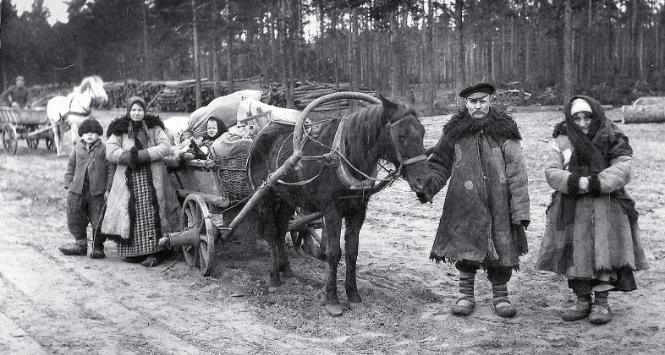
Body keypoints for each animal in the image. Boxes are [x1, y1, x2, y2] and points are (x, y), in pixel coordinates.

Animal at [246, 95, 428, 318]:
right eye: (401, 136)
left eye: (422, 132)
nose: (423, 181)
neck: (345, 155)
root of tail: (259, 136)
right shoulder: (332, 210)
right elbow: (334, 253)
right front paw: (332, 299)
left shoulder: (357, 212)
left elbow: (352, 252)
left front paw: (354, 295)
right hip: (265, 197)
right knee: (272, 234)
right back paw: (274, 278)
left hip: (287, 200)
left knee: (281, 232)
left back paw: (287, 271)